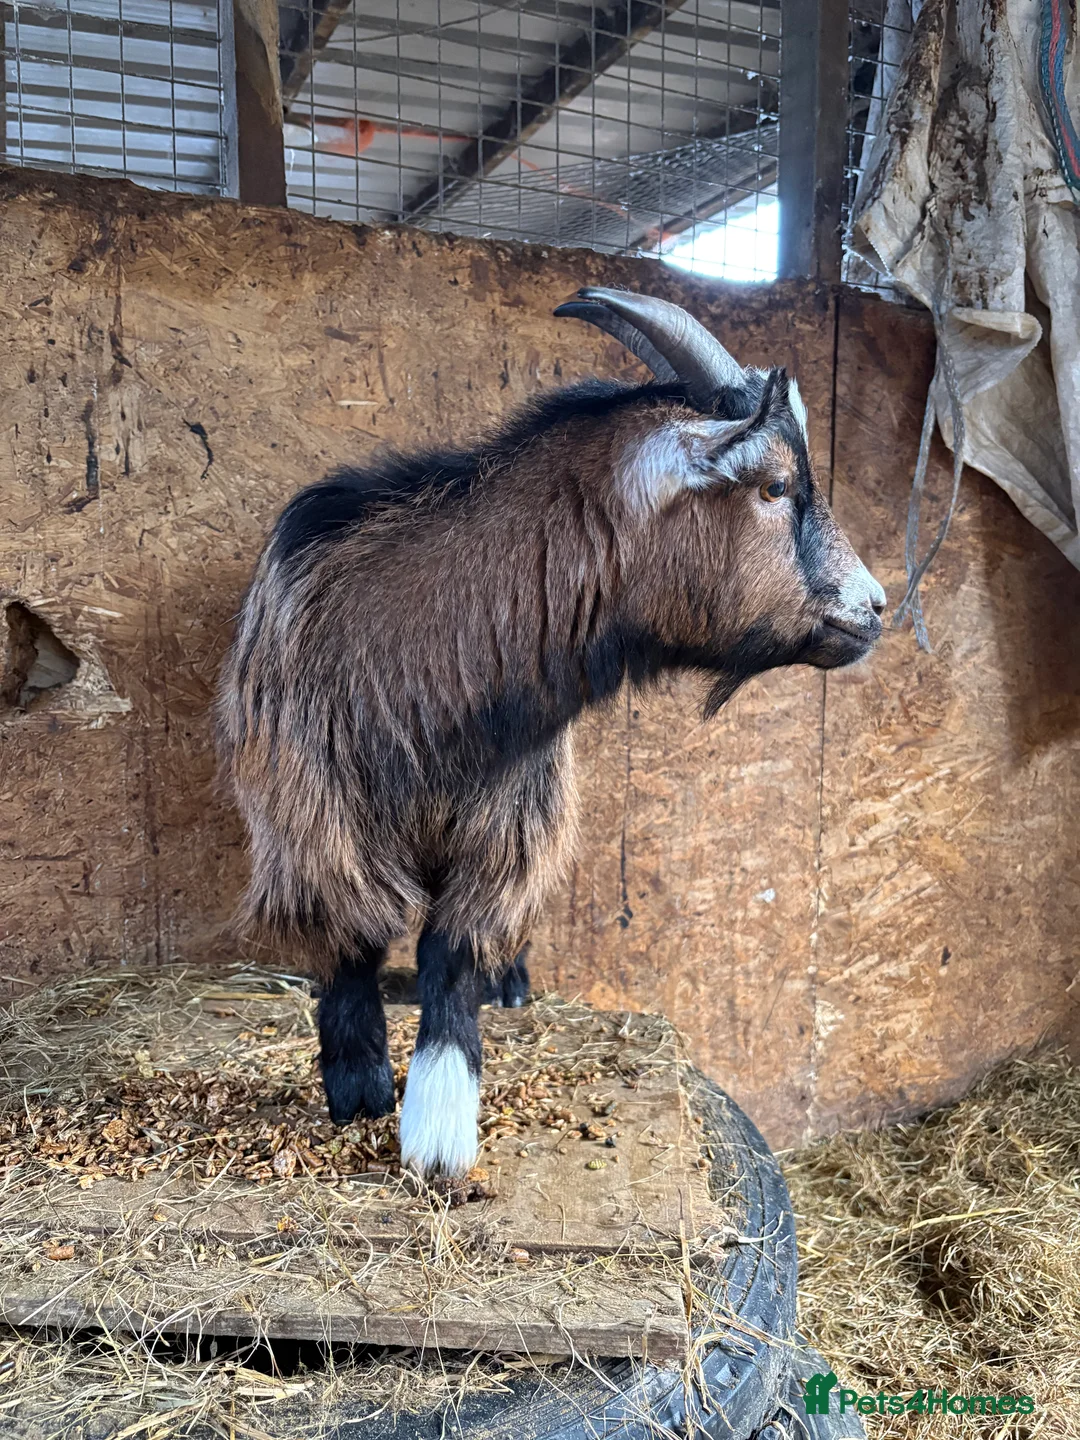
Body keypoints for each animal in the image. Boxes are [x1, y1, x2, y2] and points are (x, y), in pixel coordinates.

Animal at [216, 288, 886, 1179]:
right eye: (775, 485)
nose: (874, 606)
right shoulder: (311, 814)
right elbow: (353, 941)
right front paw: (358, 1082)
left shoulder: (515, 811)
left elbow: (452, 949)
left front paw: (439, 1122)